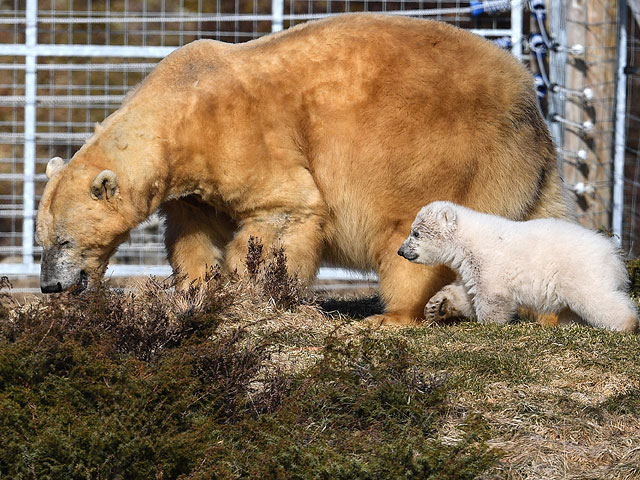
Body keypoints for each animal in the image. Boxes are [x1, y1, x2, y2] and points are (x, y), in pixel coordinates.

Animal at [35, 13, 568, 324]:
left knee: (409, 235)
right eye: (41, 240)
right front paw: (196, 288)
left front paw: (252, 289)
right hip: (527, 171)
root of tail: (528, 101)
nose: (49, 285)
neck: (183, 109)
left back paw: (393, 315)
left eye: (63, 241)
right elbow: (195, 231)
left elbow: (285, 208)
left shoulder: (246, 136)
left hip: (447, 154)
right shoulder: (195, 180)